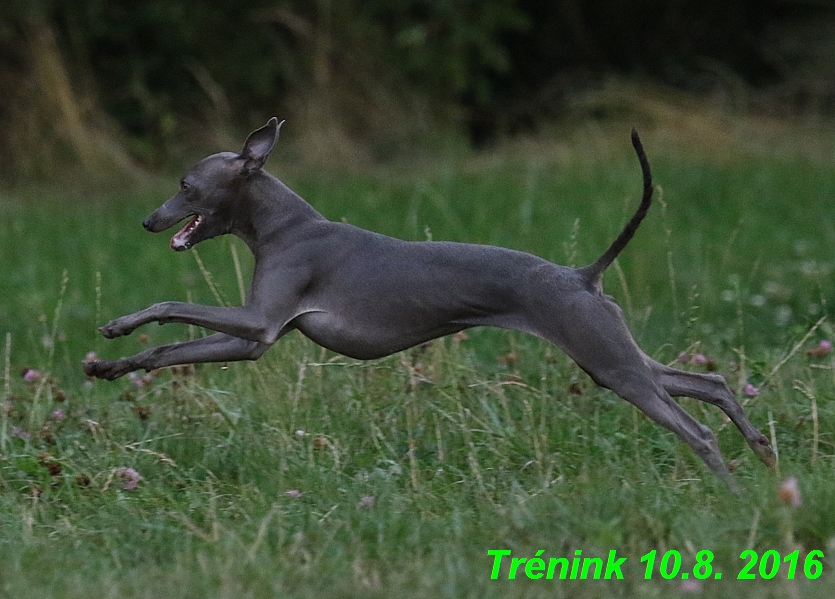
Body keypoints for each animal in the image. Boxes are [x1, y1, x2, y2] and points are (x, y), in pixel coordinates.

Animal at [86, 117, 776, 488]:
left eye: (184, 184)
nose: (148, 221)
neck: (285, 226)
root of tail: (583, 276)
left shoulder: (259, 322)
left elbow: (168, 303)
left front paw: (119, 325)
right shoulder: (252, 340)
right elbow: (168, 351)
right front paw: (111, 365)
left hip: (609, 361)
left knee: (697, 429)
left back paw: (732, 490)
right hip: (610, 357)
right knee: (711, 384)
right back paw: (764, 454)